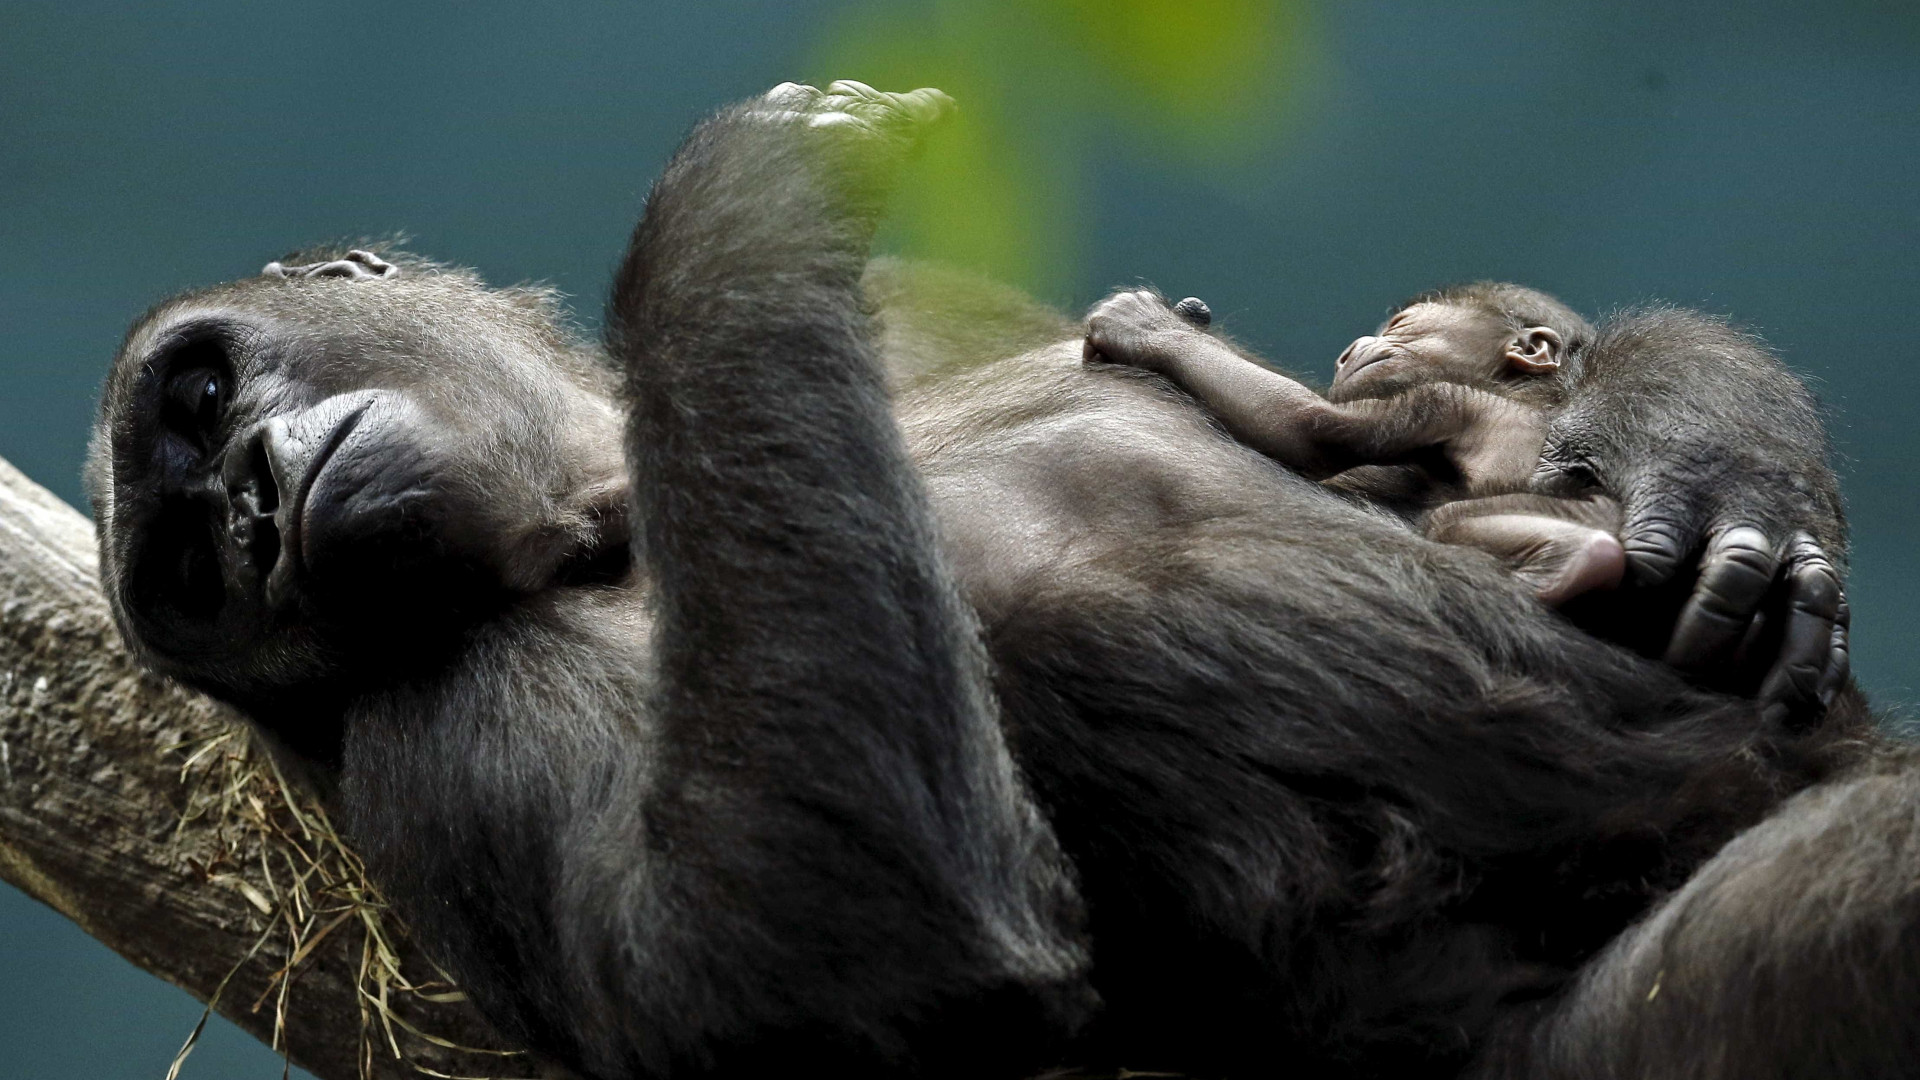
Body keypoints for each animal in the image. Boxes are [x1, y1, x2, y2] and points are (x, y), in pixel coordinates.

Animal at [1090, 284, 1612, 607]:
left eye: (1399, 325)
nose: (1347, 353)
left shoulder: (1440, 399)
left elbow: (1309, 428)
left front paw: (1145, 326)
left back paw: (1574, 561)